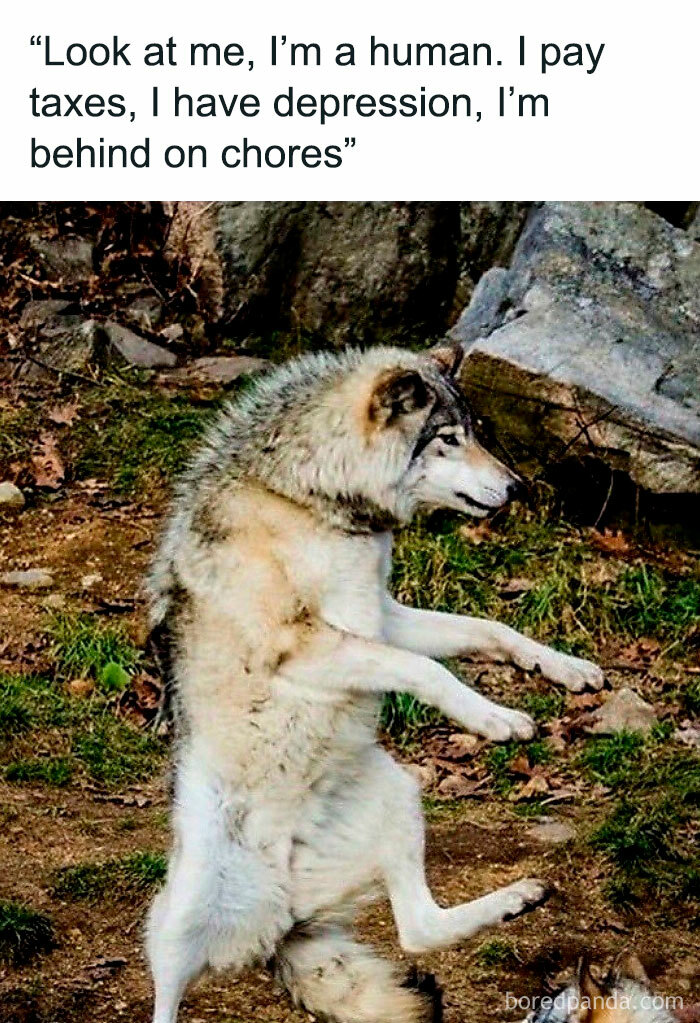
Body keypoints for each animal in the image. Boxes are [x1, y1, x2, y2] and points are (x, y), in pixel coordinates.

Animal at [145, 344, 604, 1023]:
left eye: (477, 433)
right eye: (448, 439)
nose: (518, 486)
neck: (306, 497)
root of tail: (284, 919)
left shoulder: (384, 615)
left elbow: (489, 629)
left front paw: (565, 668)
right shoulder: (302, 646)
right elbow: (429, 669)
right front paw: (496, 718)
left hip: (401, 795)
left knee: (418, 930)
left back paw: (520, 898)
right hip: (174, 923)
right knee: (167, 993)